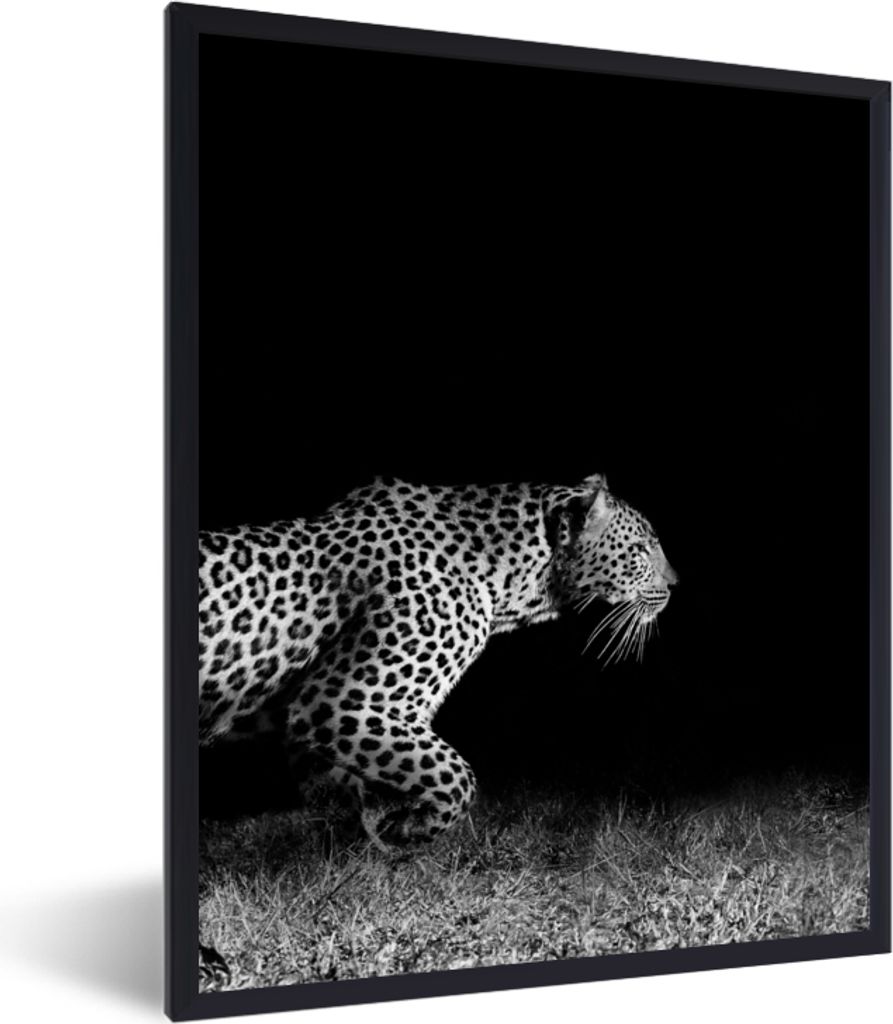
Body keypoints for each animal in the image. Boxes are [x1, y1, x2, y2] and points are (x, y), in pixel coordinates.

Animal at [198, 472, 677, 848]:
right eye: (640, 549)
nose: (675, 584)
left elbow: (351, 787)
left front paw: (367, 840)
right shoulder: (342, 703)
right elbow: (455, 774)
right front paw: (410, 829)